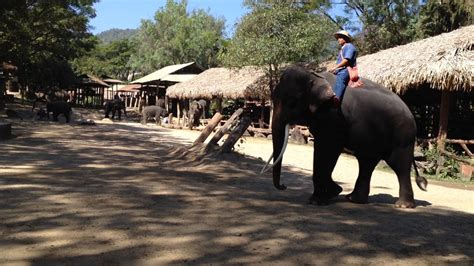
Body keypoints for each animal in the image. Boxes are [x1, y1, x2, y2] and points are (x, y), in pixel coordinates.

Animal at [264, 65, 428, 209]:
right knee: (366, 162)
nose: (284, 186)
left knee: (399, 165)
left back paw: (403, 205)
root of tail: (410, 111)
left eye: (292, 103)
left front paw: (318, 200)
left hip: (403, 135)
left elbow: (328, 149)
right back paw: (354, 199)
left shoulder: (334, 117)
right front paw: (333, 192)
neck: (315, 76)